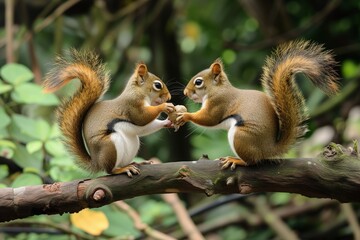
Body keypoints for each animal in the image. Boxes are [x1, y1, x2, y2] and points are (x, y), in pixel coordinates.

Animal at [43, 49, 175, 176]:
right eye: (157, 85)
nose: (169, 97)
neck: (138, 91)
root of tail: (97, 162)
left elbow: (145, 127)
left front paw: (168, 122)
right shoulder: (132, 105)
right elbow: (142, 118)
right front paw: (165, 106)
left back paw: (136, 163)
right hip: (110, 145)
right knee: (110, 170)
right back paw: (122, 169)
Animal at [177, 39, 340, 170]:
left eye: (198, 82)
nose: (185, 92)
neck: (217, 89)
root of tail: (269, 149)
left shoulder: (219, 103)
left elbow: (208, 119)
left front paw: (185, 115)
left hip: (241, 137)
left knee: (252, 161)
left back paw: (235, 160)